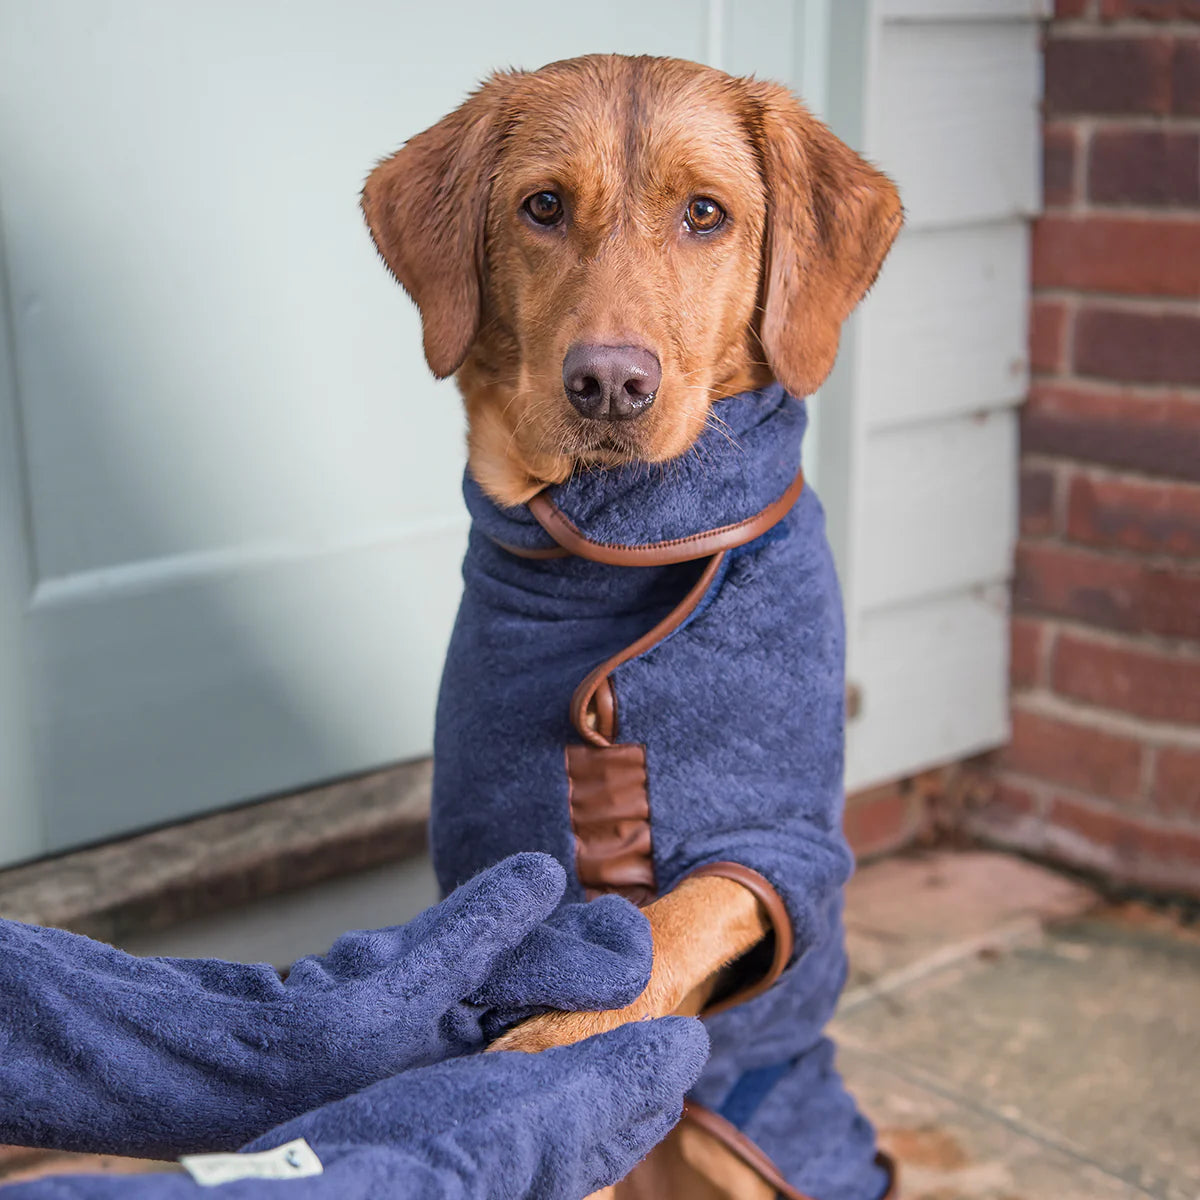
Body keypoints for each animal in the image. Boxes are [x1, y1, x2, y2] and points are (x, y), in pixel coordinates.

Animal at [364, 51, 902, 1195]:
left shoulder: (777, 847)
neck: (613, 558)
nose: (609, 383)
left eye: (706, 214)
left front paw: (553, 1043)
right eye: (542, 207)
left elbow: (669, 921)